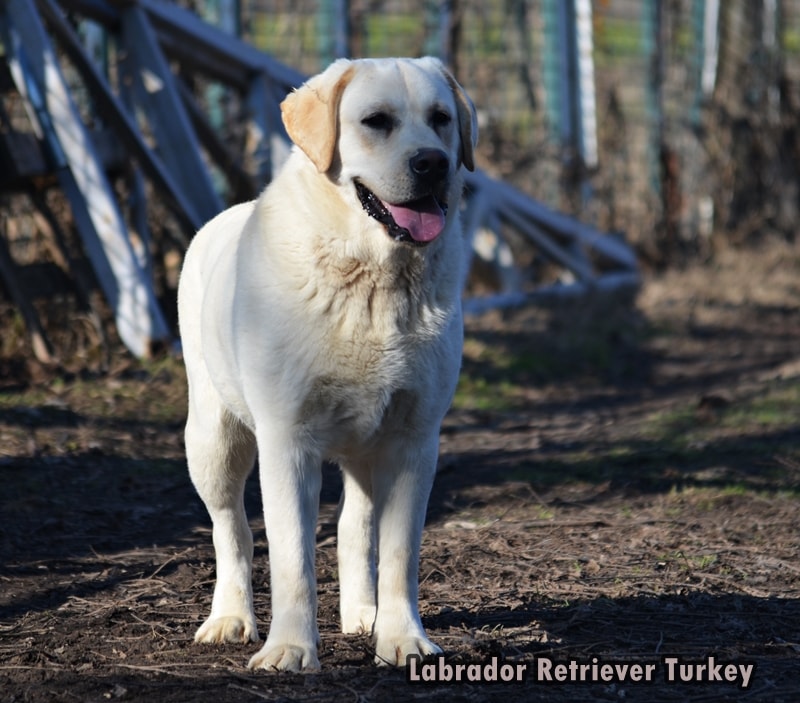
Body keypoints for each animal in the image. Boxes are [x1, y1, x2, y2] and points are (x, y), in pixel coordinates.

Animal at [178, 57, 478, 672]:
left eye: (440, 118)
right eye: (376, 121)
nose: (433, 162)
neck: (373, 279)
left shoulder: (414, 440)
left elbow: (398, 554)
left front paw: (402, 638)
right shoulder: (287, 441)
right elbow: (293, 558)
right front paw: (290, 649)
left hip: (366, 448)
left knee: (354, 528)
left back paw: (363, 615)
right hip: (213, 440)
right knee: (232, 530)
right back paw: (230, 618)